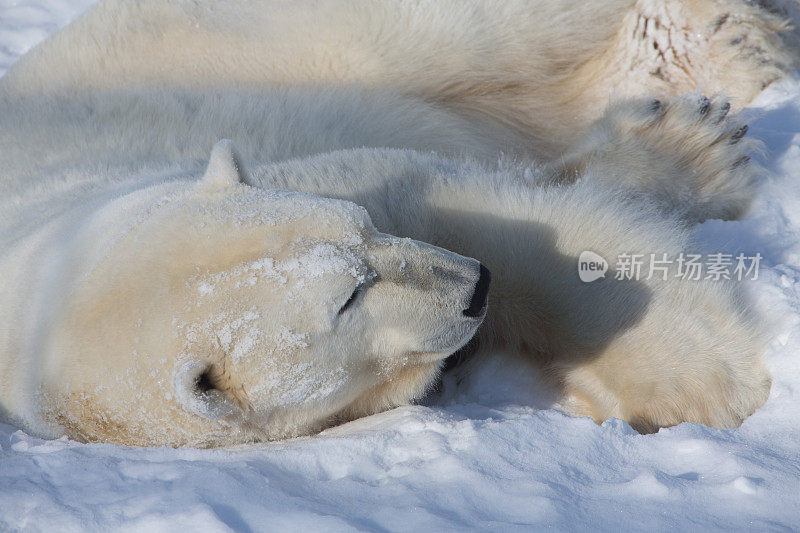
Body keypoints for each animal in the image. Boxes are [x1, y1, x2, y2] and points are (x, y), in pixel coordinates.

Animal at [0, 0, 792, 446]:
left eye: (361, 227)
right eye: (347, 297)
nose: (475, 287)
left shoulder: (320, 172)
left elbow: (480, 207)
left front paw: (700, 379)